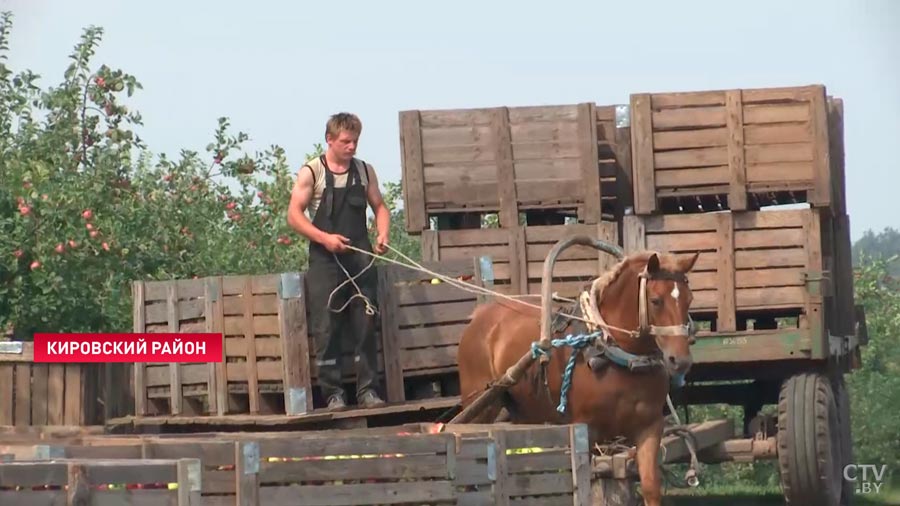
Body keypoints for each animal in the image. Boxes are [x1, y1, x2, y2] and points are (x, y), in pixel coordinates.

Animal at [460, 250, 700, 506]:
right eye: (656, 300)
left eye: (689, 299)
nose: (680, 360)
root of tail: (480, 316)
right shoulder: (587, 431)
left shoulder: (650, 427)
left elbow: (651, 487)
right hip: (480, 408)